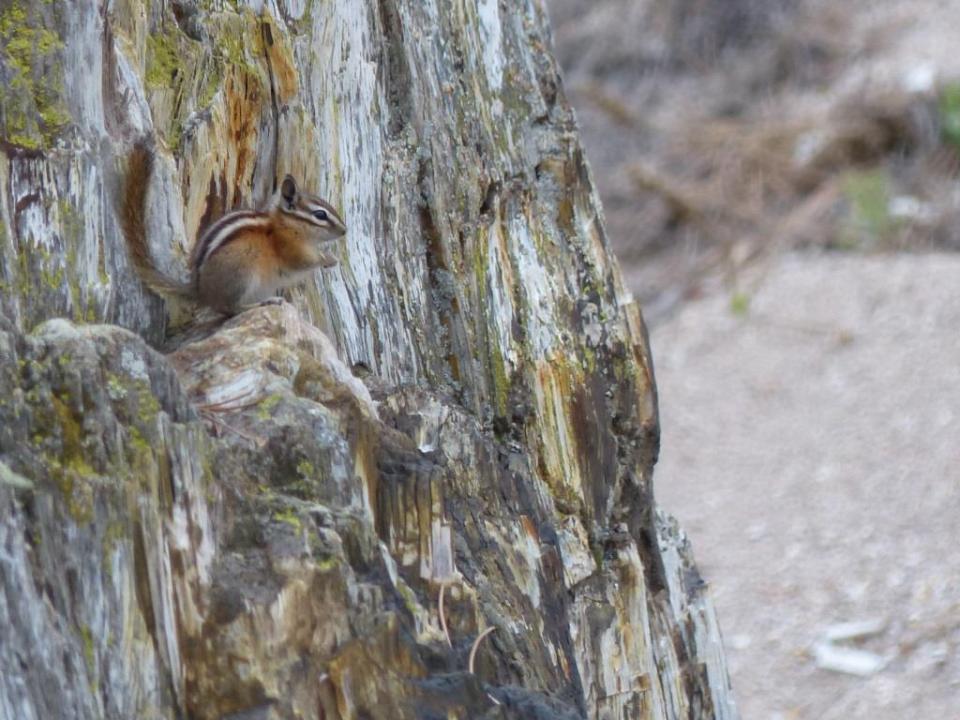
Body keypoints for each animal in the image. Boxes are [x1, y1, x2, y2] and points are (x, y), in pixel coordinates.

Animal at [119, 140, 347, 315]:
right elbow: (305, 262)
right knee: (230, 309)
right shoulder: (290, 249)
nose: (345, 231)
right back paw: (264, 302)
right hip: (243, 270)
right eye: (320, 215)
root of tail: (200, 291)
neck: (288, 225)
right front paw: (328, 258)